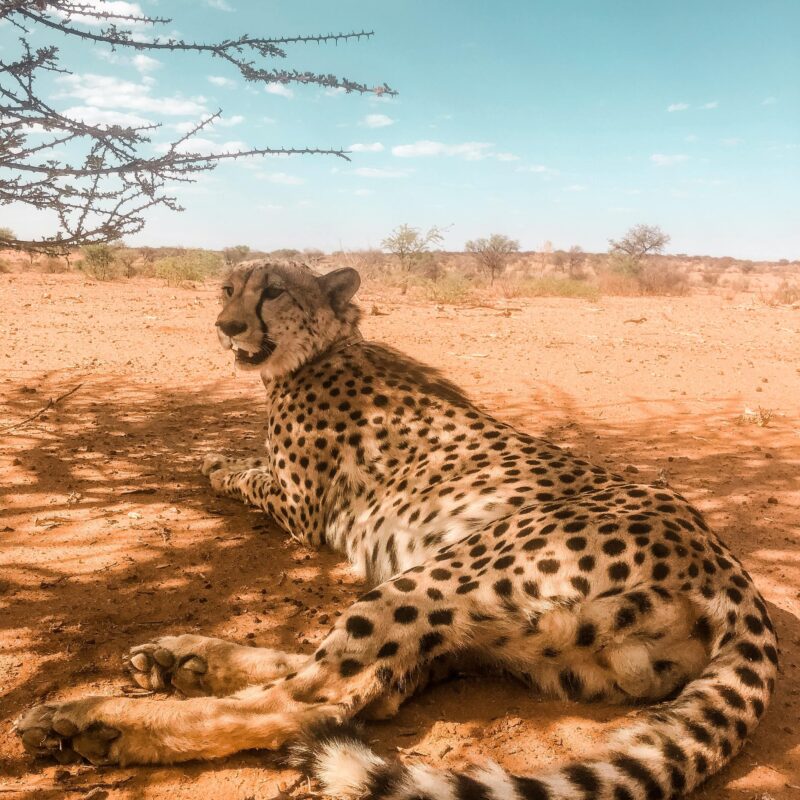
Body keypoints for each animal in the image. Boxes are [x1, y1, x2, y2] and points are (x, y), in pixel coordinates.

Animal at [18, 262, 780, 800]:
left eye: (271, 292)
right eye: (228, 288)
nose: (226, 325)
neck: (331, 343)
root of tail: (728, 571)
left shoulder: (301, 509)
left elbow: (248, 473)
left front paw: (215, 462)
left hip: (449, 575)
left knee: (318, 700)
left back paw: (92, 721)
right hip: (512, 638)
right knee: (368, 686)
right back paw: (180, 660)